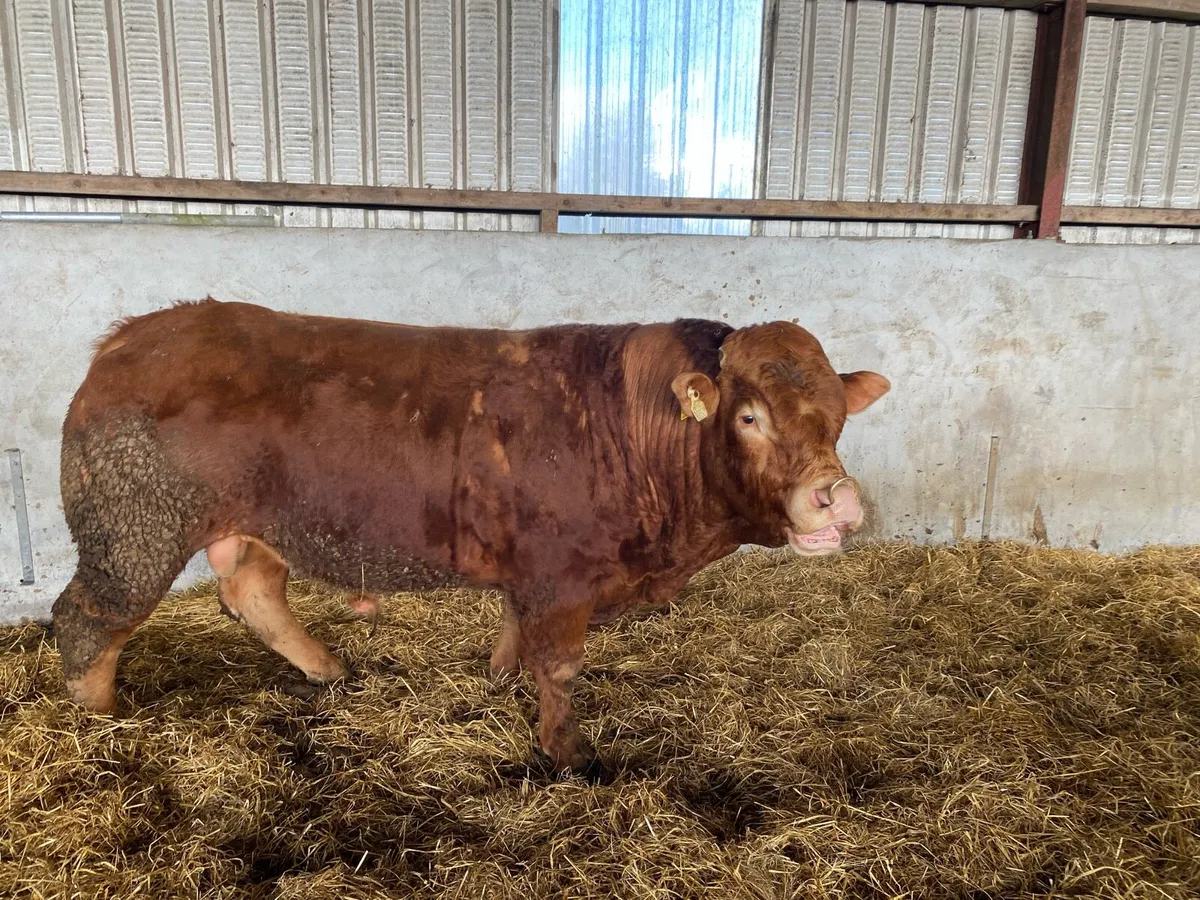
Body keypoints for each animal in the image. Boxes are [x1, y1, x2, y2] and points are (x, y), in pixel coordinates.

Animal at [52, 299, 889, 775]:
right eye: (749, 416)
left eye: (837, 418)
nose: (836, 498)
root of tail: (128, 342)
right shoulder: (561, 578)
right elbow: (560, 667)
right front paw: (567, 755)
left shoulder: (530, 578)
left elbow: (514, 638)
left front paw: (499, 680)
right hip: (135, 532)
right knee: (87, 619)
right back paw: (98, 718)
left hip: (252, 526)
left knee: (252, 591)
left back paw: (328, 671)